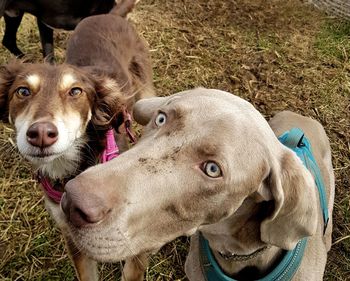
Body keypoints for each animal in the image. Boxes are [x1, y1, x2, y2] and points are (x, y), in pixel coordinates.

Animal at [0, 1, 154, 278]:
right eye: (23, 91)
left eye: (75, 92)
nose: (41, 134)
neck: (72, 169)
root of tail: (108, 14)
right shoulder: (72, 232)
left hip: (145, 93)